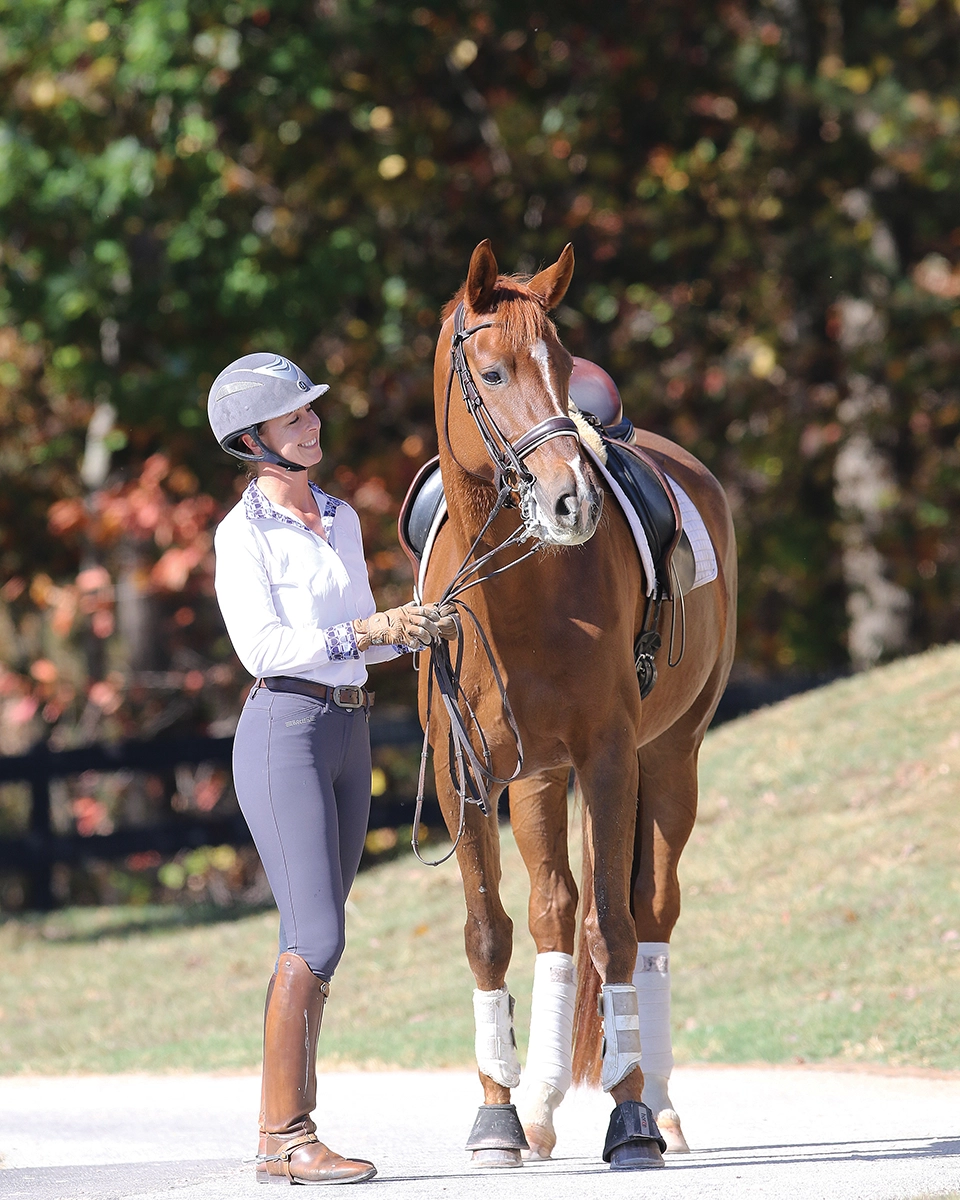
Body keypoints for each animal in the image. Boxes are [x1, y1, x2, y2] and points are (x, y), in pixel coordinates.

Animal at [416, 240, 736, 1169]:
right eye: (490, 371)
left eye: (560, 367)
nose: (573, 502)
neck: (518, 595)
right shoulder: (465, 776)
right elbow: (489, 931)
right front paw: (497, 1116)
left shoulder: (609, 758)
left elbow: (618, 931)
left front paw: (630, 1120)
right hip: (536, 779)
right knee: (555, 914)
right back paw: (542, 1106)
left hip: (669, 760)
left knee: (648, 914)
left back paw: (660, 1104)